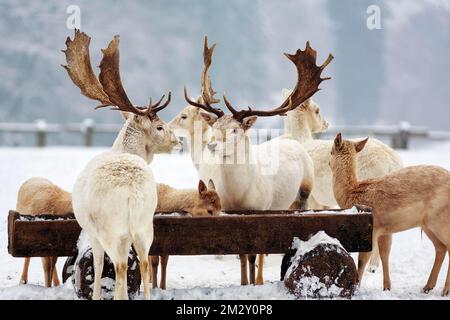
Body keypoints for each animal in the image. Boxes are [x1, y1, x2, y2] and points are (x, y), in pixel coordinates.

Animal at [62, 30, 181, 300]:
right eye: (160, 127)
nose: (179, 141)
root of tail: (132, 192)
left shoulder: (93, 232)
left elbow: (97, 266)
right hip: (145, 222)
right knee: (144, 263)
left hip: (110, 228)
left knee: (119, 265)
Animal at [184, 37, 334, 284]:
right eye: (215, 127)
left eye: (236, 129)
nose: (212, 144)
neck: (239, 195)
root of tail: (294, 140)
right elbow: (240, 254)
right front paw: (244, 281)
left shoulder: (259, 210)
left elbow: (254, 253)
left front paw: (252, 282)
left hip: (304, 190)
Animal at [280, 88, 402, 272]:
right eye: (318, 110)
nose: (326, 124)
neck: (302, 140)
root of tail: (392, 162)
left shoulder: (313, 197)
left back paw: (373, 267)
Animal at [328, 132, 448, 296]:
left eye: (330, 151)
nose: (328, 163)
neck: (351, 193)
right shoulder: (384, 228)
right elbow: (385, 253)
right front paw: (387, 287)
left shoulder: (370, 228)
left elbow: (362, 259)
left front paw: (356, 288)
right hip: (428, 224)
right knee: (441, 248)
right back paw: (427, 287)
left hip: (440, 219)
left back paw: (444, 290)